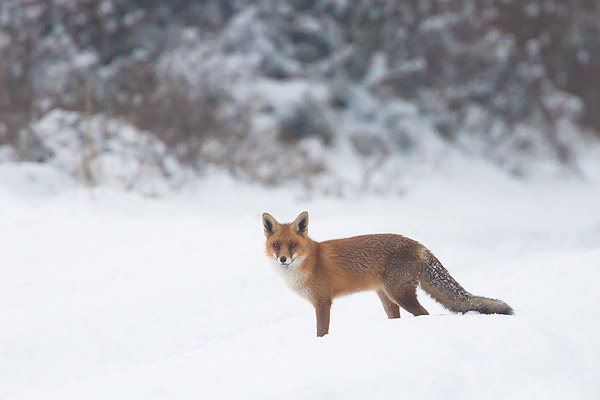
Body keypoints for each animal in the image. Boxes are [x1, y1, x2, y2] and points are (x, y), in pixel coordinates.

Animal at [260, 211, 512, 336]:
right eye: (277, 246)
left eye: (293, 245)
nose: (283, 259)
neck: (310, 262)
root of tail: (418, 244)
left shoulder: (323, 302)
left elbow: (321, 332)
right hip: (387, 298)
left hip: (398, 294)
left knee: (424, 313)